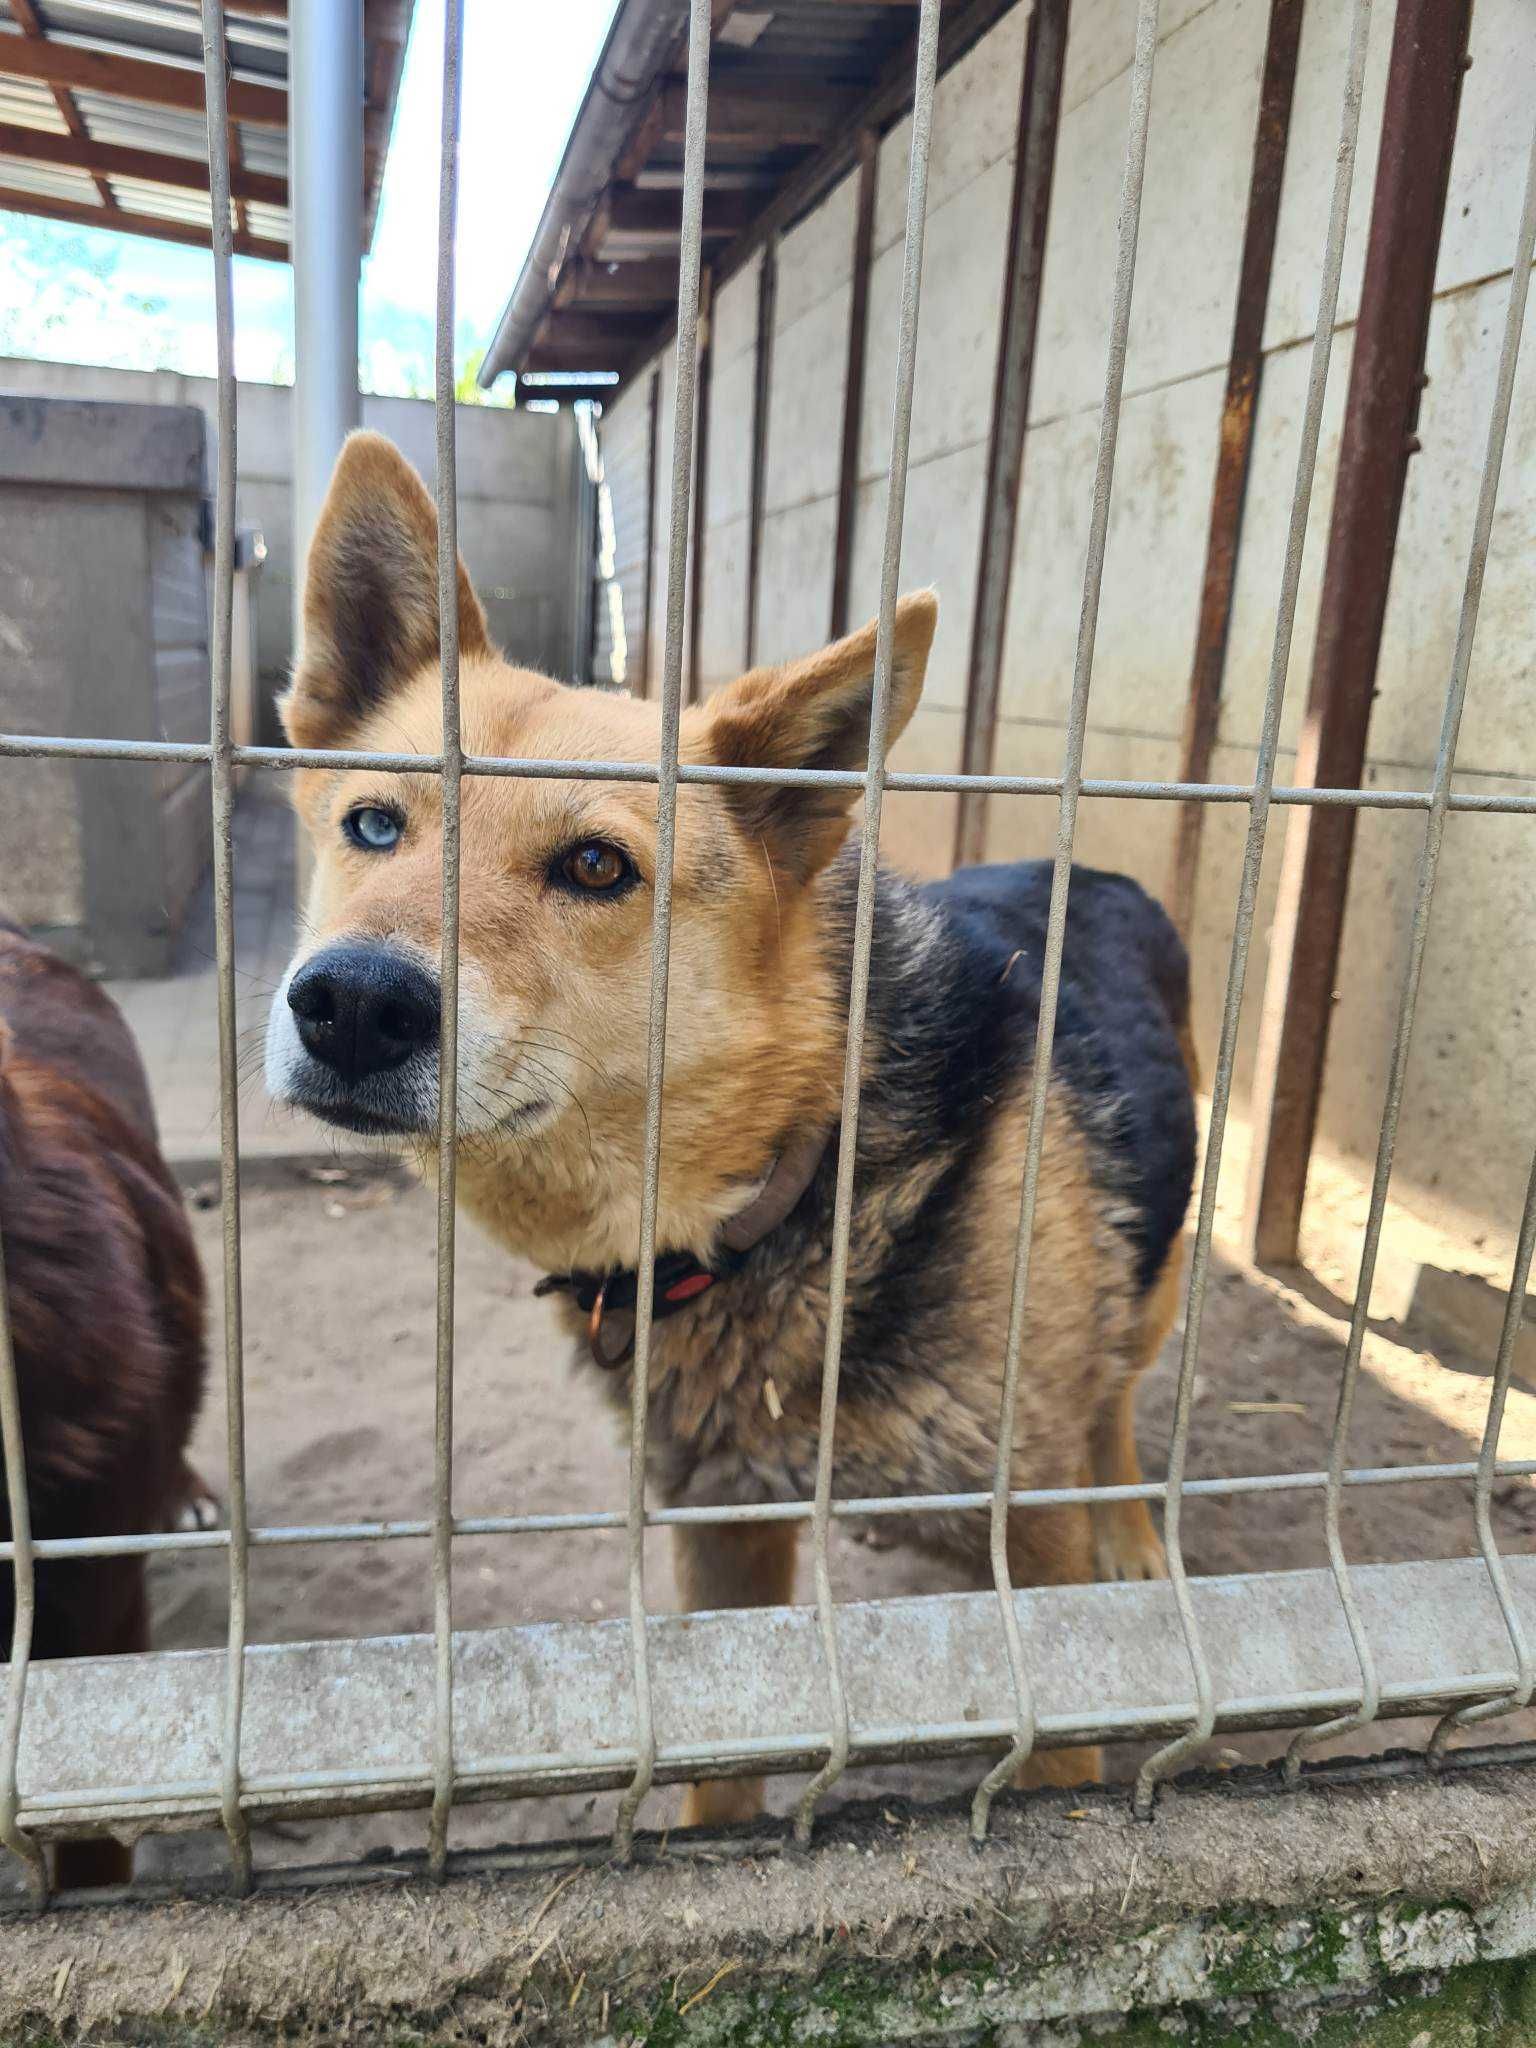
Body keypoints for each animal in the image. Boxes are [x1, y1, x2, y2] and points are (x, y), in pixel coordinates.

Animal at [264, 436, 1204, 1826]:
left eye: (597, 868)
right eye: (375, 824)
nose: (351, 1003)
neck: (800, 1171)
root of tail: (1098, 866)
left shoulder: (1026, 1538)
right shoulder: (722, 1534)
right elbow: (719, 1779)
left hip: (1152, 1288)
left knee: (1119, 1397)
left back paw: (1136, 1527)